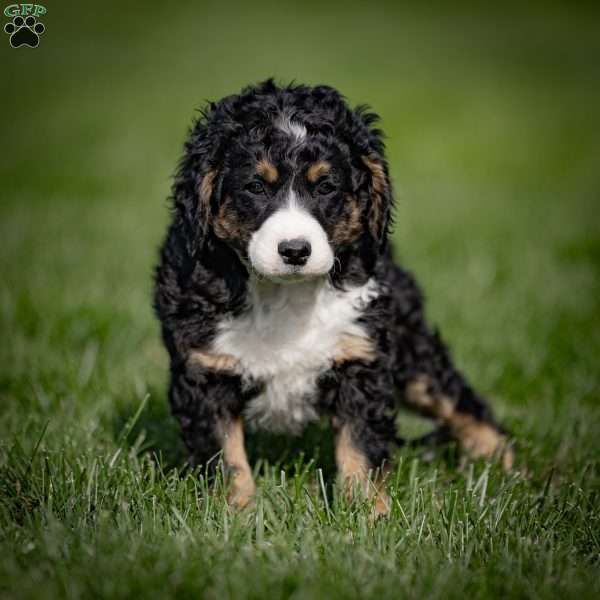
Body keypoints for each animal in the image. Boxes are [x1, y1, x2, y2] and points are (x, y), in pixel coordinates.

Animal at [152, 79, 512, 512]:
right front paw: (235, 513)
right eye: (255, 187)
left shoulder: (360, 359)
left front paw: (367, 514)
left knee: (458, 398)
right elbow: (226, 457)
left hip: (410, 350)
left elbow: (360, 449)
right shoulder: (205, 372)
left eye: (325, 187)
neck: (286, 298)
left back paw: (504, 468)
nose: (294, 250)